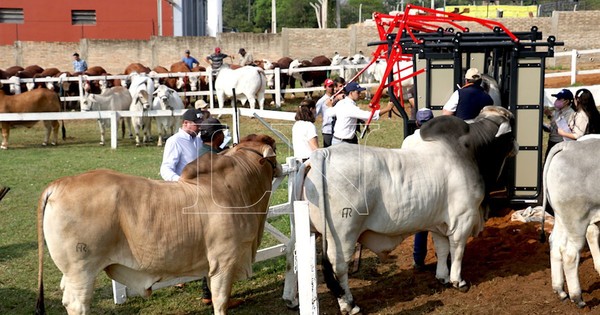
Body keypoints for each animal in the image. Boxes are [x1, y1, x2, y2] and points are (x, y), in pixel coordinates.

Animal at [35, 135, 284, 315]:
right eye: (274, 147)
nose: (281, 167)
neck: (238, 188)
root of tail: (58, 185)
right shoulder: (224, 261)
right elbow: (220, 300)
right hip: (81, 271)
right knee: (77, 304)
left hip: (72, 273)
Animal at [284, 107, 516, 315]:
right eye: (512, 128)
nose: (517, 145)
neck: (472, 151)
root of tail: (321, 154)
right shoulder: (463, 218)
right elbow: (457, 250)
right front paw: (458, 281)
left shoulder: (440, 224)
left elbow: (442, 249)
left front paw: (442, 276)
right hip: (342, 235)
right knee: (338, 267)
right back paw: (349, 305)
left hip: (303, 228)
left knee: (290, 256)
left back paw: (291, 299)